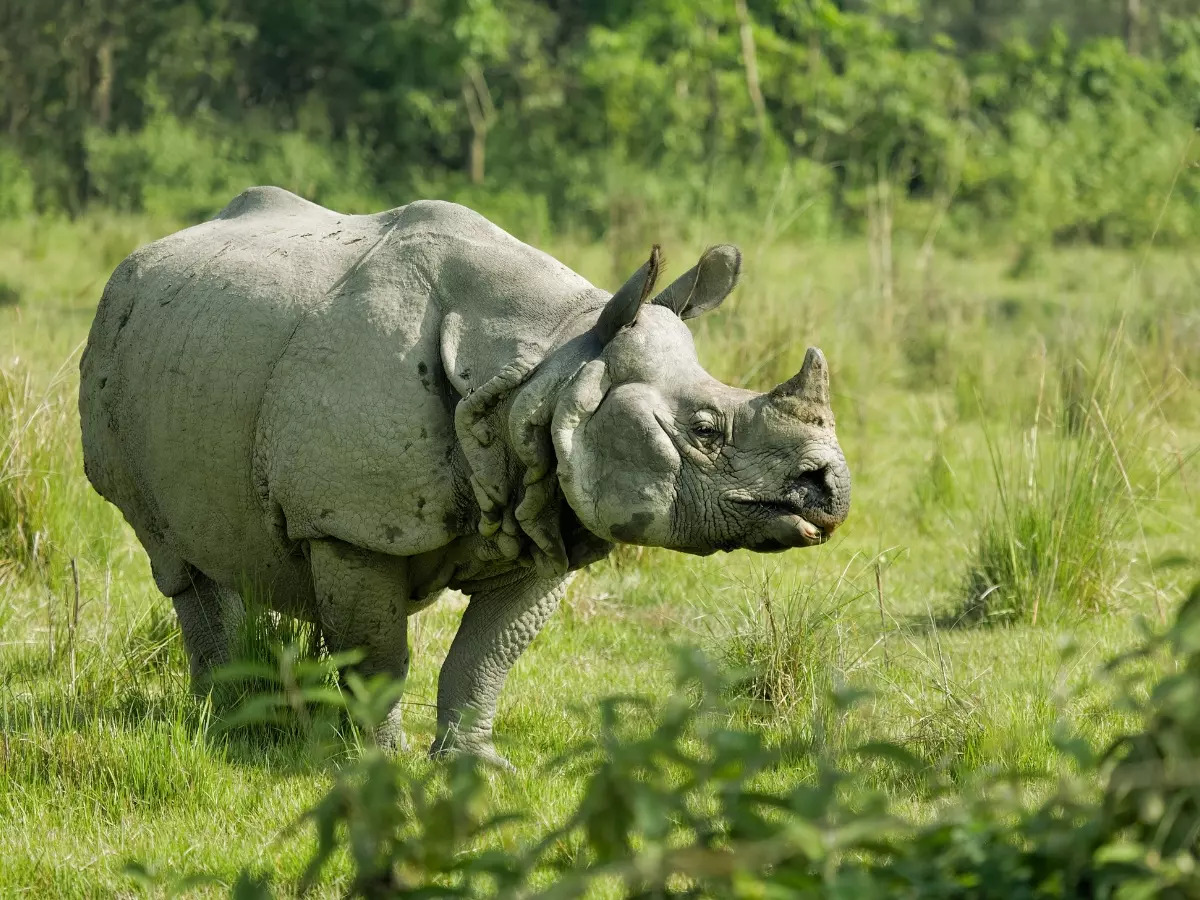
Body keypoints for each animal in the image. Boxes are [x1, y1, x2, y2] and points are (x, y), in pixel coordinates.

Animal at [79, 187, 850, 767]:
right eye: (705, 431)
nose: (831, 490)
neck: (550, 367)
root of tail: (137, 260)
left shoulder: (549, 504)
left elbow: (487, 657)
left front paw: (474, 765)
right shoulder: (351, 525)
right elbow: (380, 656)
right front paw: (379, 763)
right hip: (123, 349)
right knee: (177, 559)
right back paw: (229, 722)